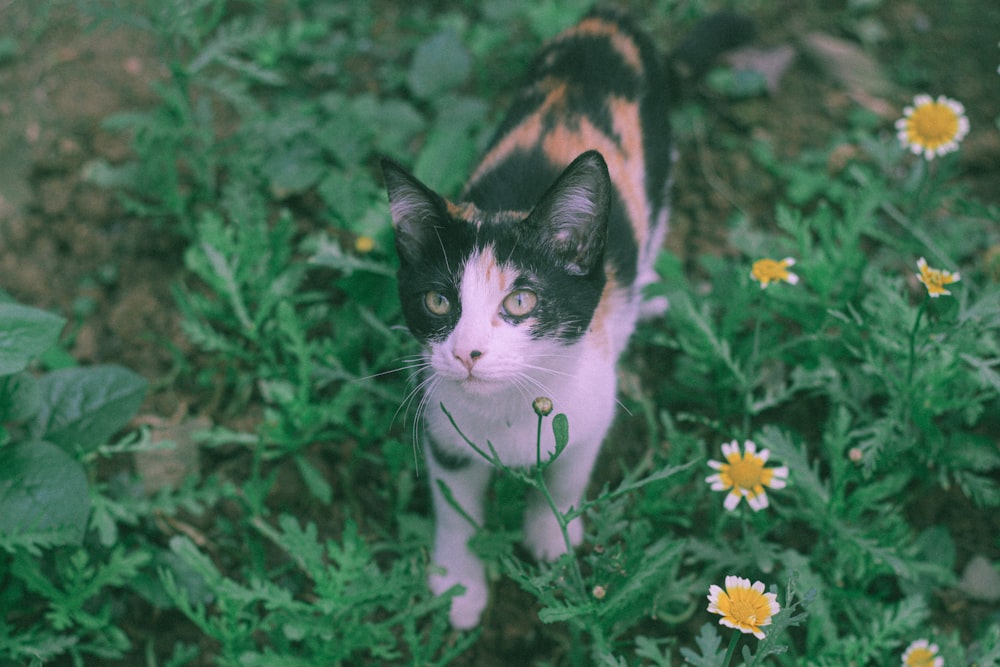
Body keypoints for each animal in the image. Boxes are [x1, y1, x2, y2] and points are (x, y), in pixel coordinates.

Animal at [382, 7, 752, 628]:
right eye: (438, 302)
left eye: (520, 302)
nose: (465, 352)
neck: (509, 410)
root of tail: (608, 19)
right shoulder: (442, 422)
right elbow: (457, 507)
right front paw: (458, 583)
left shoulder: (591, 406)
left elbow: (567, 474)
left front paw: (551, 540)